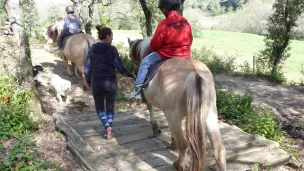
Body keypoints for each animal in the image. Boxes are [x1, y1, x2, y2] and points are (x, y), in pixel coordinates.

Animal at [127, 37, 227, 171]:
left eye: (130, 56)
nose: (133, 73)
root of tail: (194, 73)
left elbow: (149, 107)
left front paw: (156, 129)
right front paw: (172, 141)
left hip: (174, 116)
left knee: (184, 144)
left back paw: (179, 164)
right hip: (210, 115)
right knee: (219, 150)